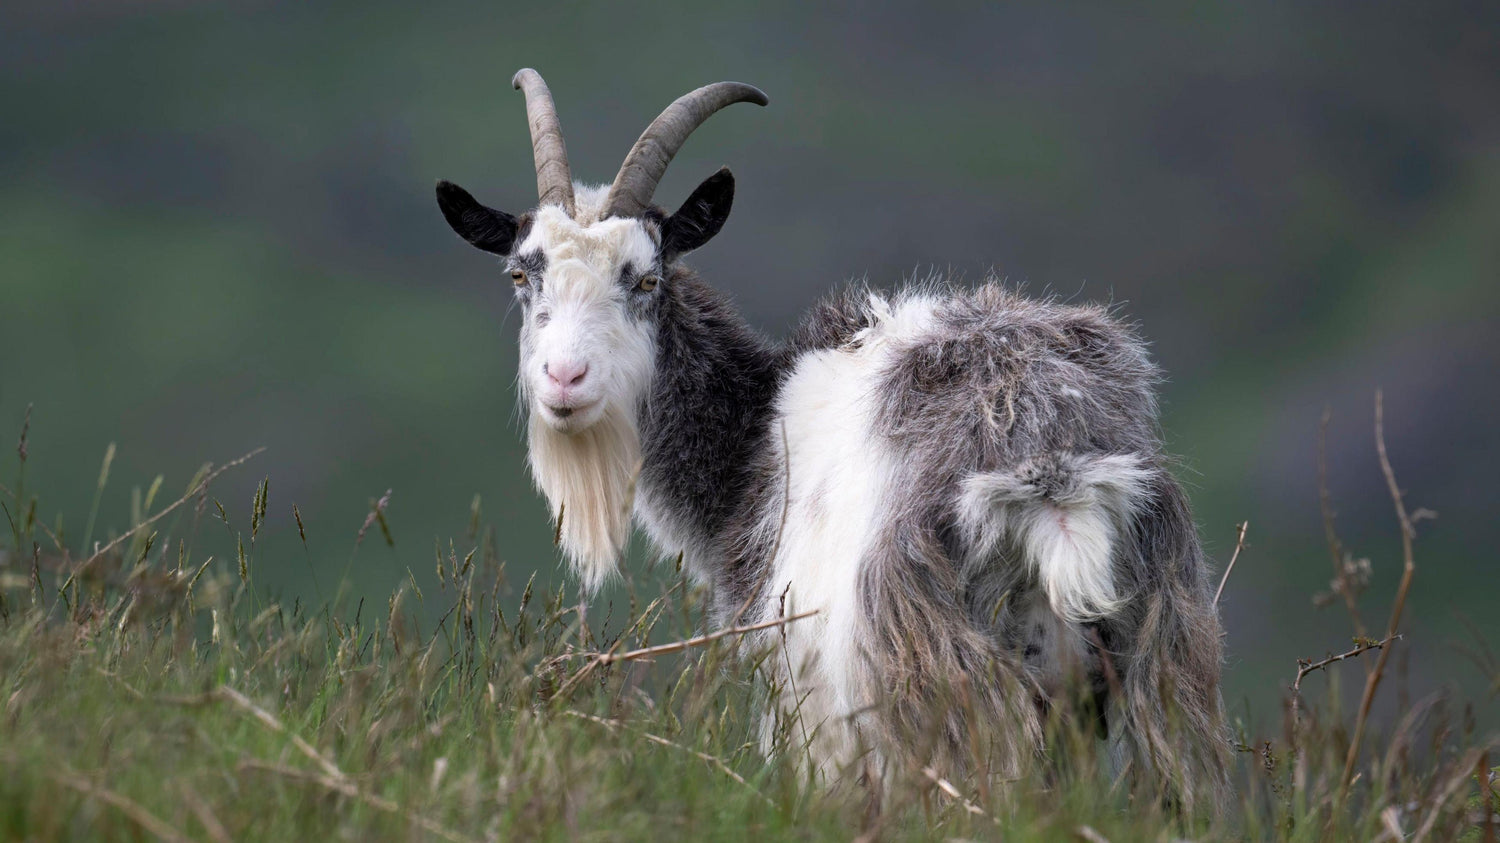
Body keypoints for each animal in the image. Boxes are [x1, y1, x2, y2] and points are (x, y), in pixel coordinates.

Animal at [435, 69, 1230, 812]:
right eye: (521, 275)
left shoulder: (804, 701)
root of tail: (1053, 471)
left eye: (646, 278)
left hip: (933, 685)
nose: (564, 378)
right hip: (1159, 671)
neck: (756, 435)